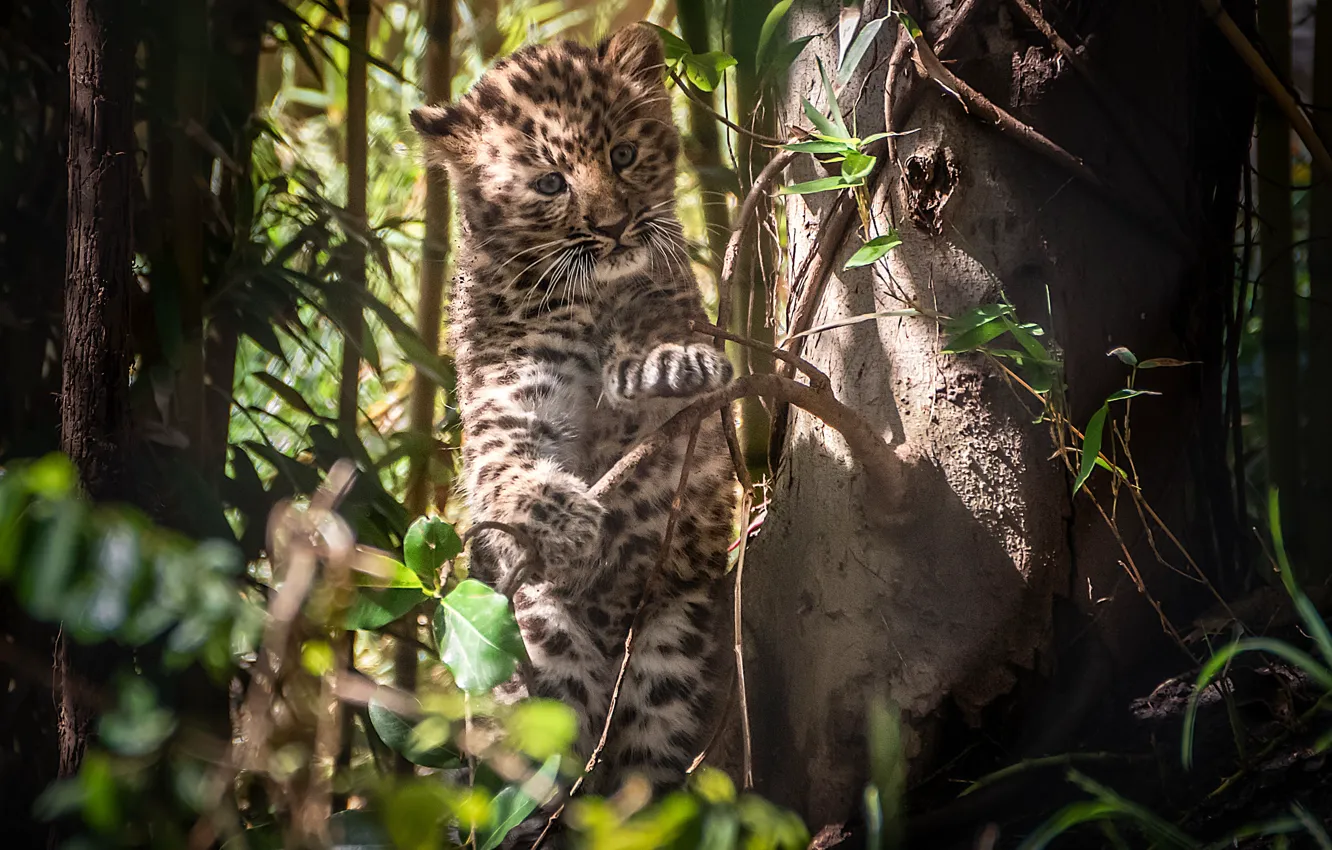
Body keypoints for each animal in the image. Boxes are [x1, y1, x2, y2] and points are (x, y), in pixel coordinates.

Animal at [411, 22, 738, 805]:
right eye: (549, 183)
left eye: (623, 154)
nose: (614, 227)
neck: (584, 299)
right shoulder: (506, 409)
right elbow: (508, 470)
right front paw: (567, 518)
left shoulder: (684, 426)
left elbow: (661, 362)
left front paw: (672, 364)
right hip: (532, 634)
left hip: (670, 635)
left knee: (646, 764)